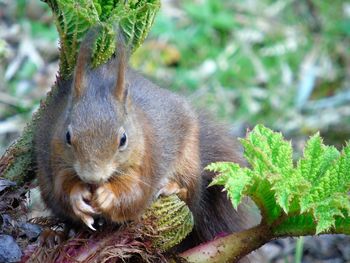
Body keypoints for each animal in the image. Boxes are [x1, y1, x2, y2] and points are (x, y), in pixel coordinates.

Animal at [34, 27, 260, 260]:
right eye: (68, 136)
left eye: (123, 139)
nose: (92, 177)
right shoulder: (56, 157)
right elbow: (62, 187)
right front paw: (77, 197)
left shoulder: (146, 159)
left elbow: (135, 194)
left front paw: (108, 196)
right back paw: (55, 236)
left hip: (188, 162)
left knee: (190, 194)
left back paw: (172, 187)